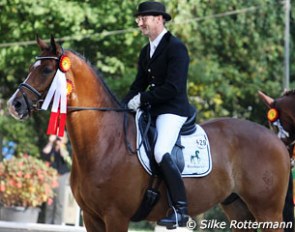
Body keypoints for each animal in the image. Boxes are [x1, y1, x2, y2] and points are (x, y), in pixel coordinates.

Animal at [6, 35, 292, 231]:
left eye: (46, 70)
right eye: (32, 68)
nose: (14, 104)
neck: (104, 142)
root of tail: (276, 141)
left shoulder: (116, 216)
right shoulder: (91, 217)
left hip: (268, 211)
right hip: (238, 208)